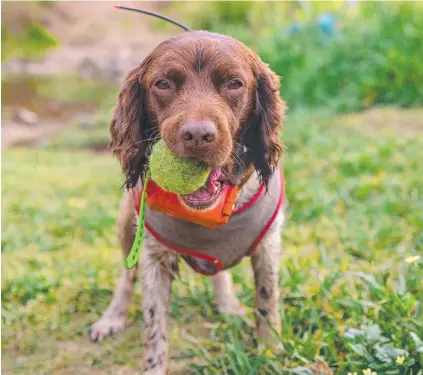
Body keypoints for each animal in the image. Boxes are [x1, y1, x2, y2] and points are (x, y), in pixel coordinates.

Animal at [88, 30, 286, 374]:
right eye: (164, 83)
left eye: (234, 83)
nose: (197, 135)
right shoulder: (153, 259)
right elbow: (155, 329)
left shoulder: (268, 246)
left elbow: (267, 302)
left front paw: (270, 353)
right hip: (126, 222)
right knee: (126, 276)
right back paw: (112, 318)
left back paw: (228, 305)